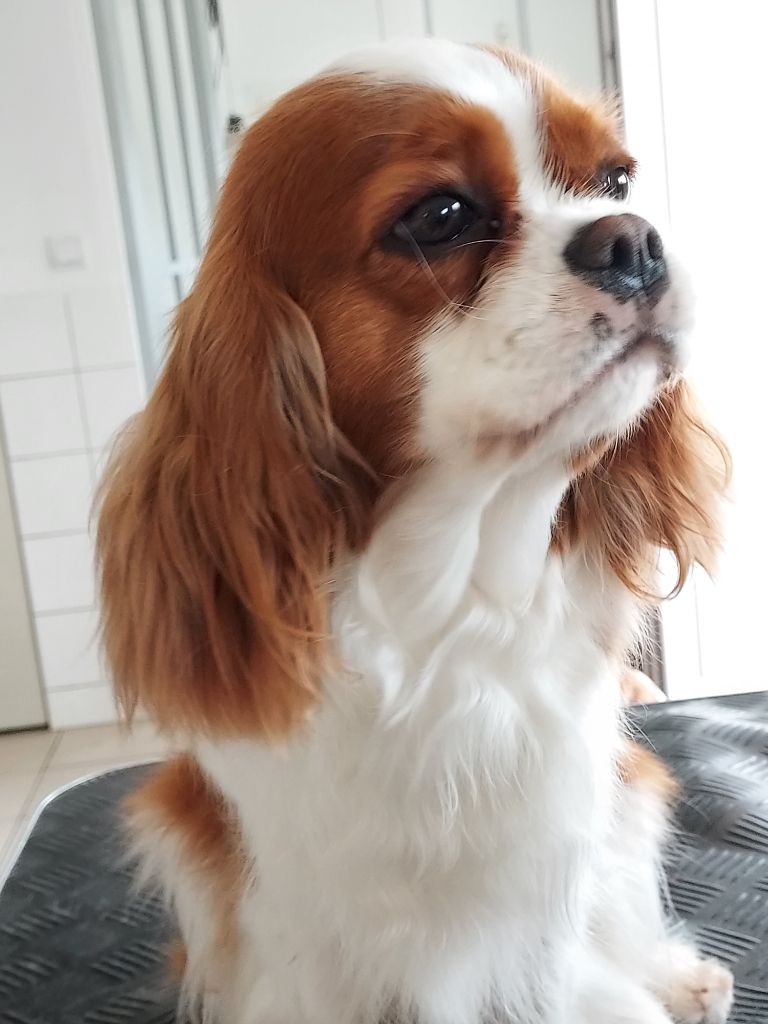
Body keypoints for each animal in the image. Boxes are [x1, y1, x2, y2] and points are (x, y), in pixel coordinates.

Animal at [96, 39, 733, 1024]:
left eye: (616, 179)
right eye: (441, 216)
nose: (632, 236)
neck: (451, 600)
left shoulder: (547, 876)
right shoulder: (307, 913)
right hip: (176, 823)